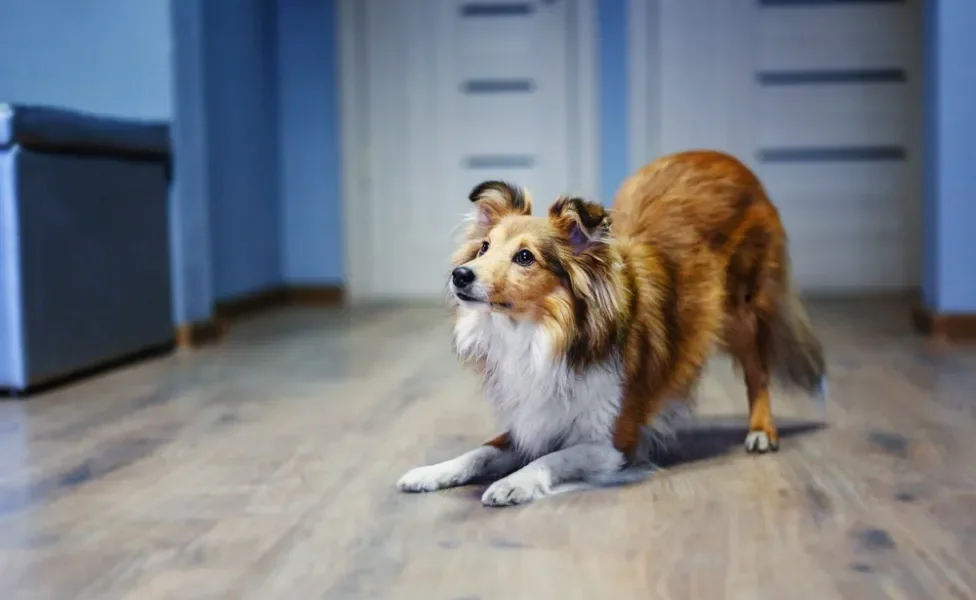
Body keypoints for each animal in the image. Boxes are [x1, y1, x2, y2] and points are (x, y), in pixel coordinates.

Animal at [394, 149, 824, 506]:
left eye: (525, 257)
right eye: (484, 247)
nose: (460, 275)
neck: (541, 335)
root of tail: (727, 159)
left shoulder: (614, 441)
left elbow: (553, 457)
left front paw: (513, 483)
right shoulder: (533, 418)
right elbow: (481, 451)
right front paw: (431, 472)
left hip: (742, 310)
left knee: (758, 372)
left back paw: (762, 432)